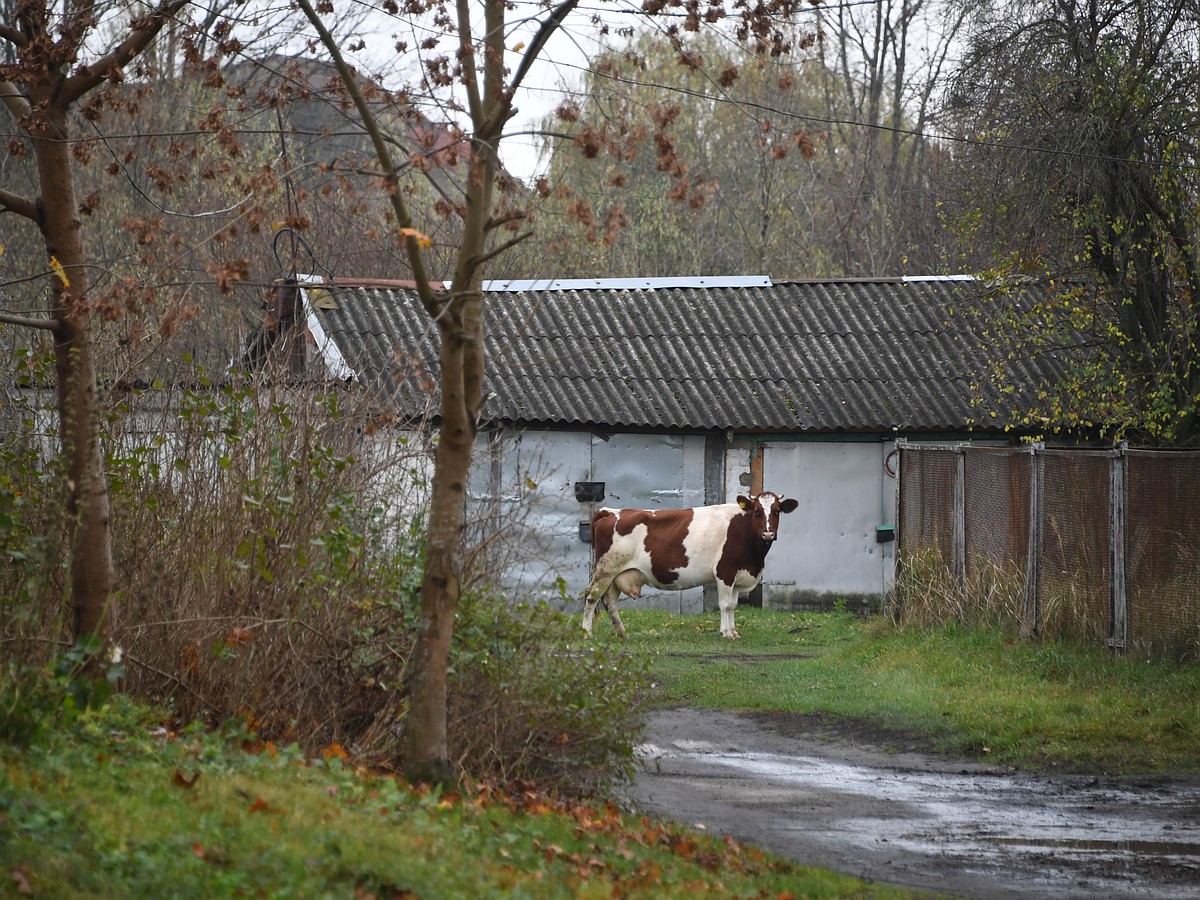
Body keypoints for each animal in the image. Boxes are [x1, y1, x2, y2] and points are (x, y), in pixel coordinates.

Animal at [580, 494, 796, 643]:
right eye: (758, 511)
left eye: (777, 511)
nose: (768, 534)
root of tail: (609, 511)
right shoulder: (724, 572)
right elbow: (725, 605)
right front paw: (726, 632)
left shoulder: (737, 575)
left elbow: (733, 605)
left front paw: (734, 631)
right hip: (606, 569)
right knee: (592, 596)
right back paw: (587, 632)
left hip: (616, 574)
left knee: (610, 601)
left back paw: (621, 632)